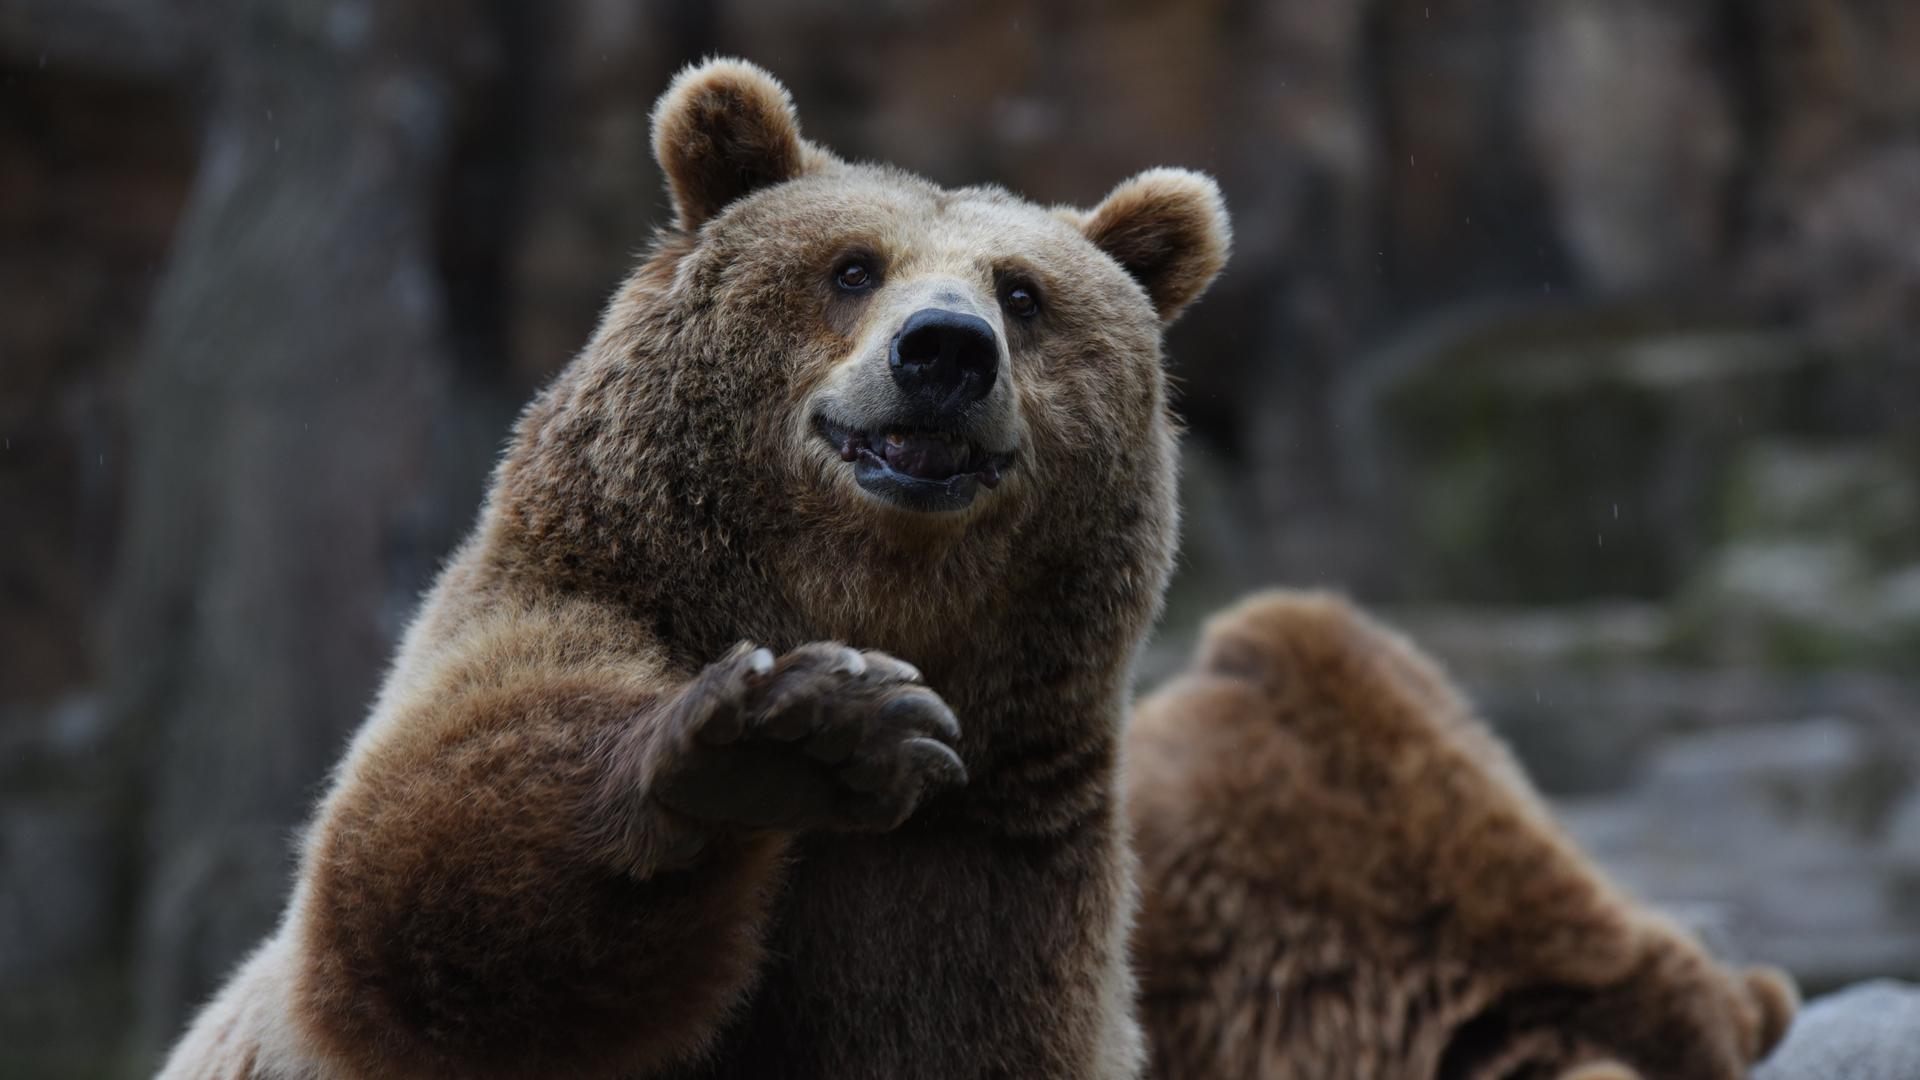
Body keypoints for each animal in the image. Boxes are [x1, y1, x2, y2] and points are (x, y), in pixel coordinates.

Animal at [153, 56, 1228, 1076]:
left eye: (1022, 293)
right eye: (853, 268)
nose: (946, 350)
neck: (861, 593)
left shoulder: (983, 872)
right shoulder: (576, 597)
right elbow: (419, 872)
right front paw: (794, 734)